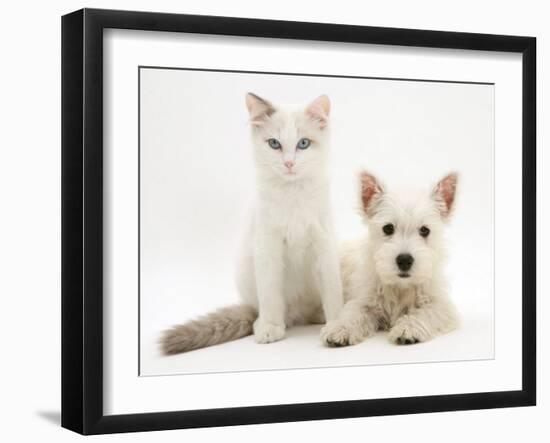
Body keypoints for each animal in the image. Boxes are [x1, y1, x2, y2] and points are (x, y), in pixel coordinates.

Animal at [162, 93, 342, 354]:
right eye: (274, 144)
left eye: (303, 144)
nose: (289, 163)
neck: (292, 194)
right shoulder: (268, 247)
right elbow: (270, 295)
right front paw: (270, 328)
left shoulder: (324, 245)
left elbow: (333, 293)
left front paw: (338, 325)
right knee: (268, 310)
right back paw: (264, 322)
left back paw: (319, 316)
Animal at [324, 170, 462, 346]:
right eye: (388, 228)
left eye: (425, 230)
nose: (404, 260)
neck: (400, 287)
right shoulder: (363, 300)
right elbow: (353, 313)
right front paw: (340, 328)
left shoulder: (441, 305)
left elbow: (425, 313)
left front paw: (408, 329)